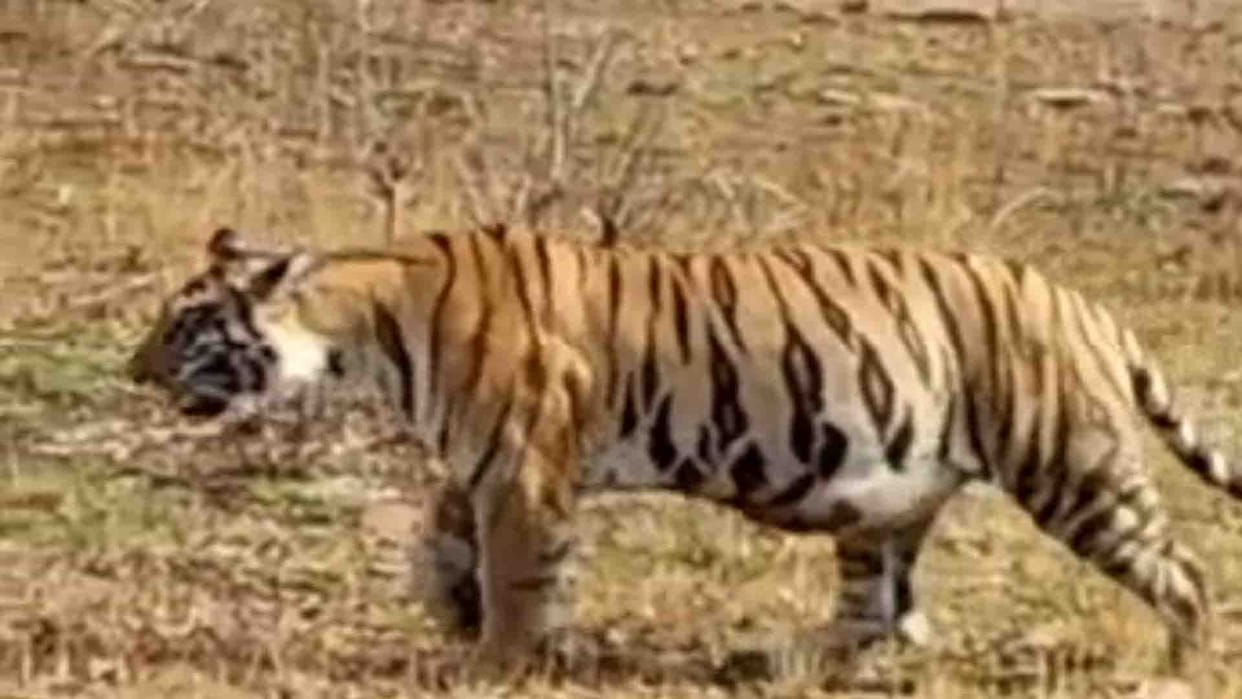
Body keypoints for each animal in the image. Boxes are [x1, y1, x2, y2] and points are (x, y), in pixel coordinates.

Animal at [127, 223, 1241, 673]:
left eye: (187, 324)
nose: (134, 371)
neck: (363, 328)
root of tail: (1084, 301)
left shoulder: (522, 463)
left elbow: (519, 566)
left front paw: (498, 657)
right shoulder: (479, 459)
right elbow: (440, 541)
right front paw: (456, 615)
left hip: (1073, 467)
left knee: (1182, 573)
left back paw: (1173, 668)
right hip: (882, 498)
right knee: (879, 614)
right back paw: (782, 658)